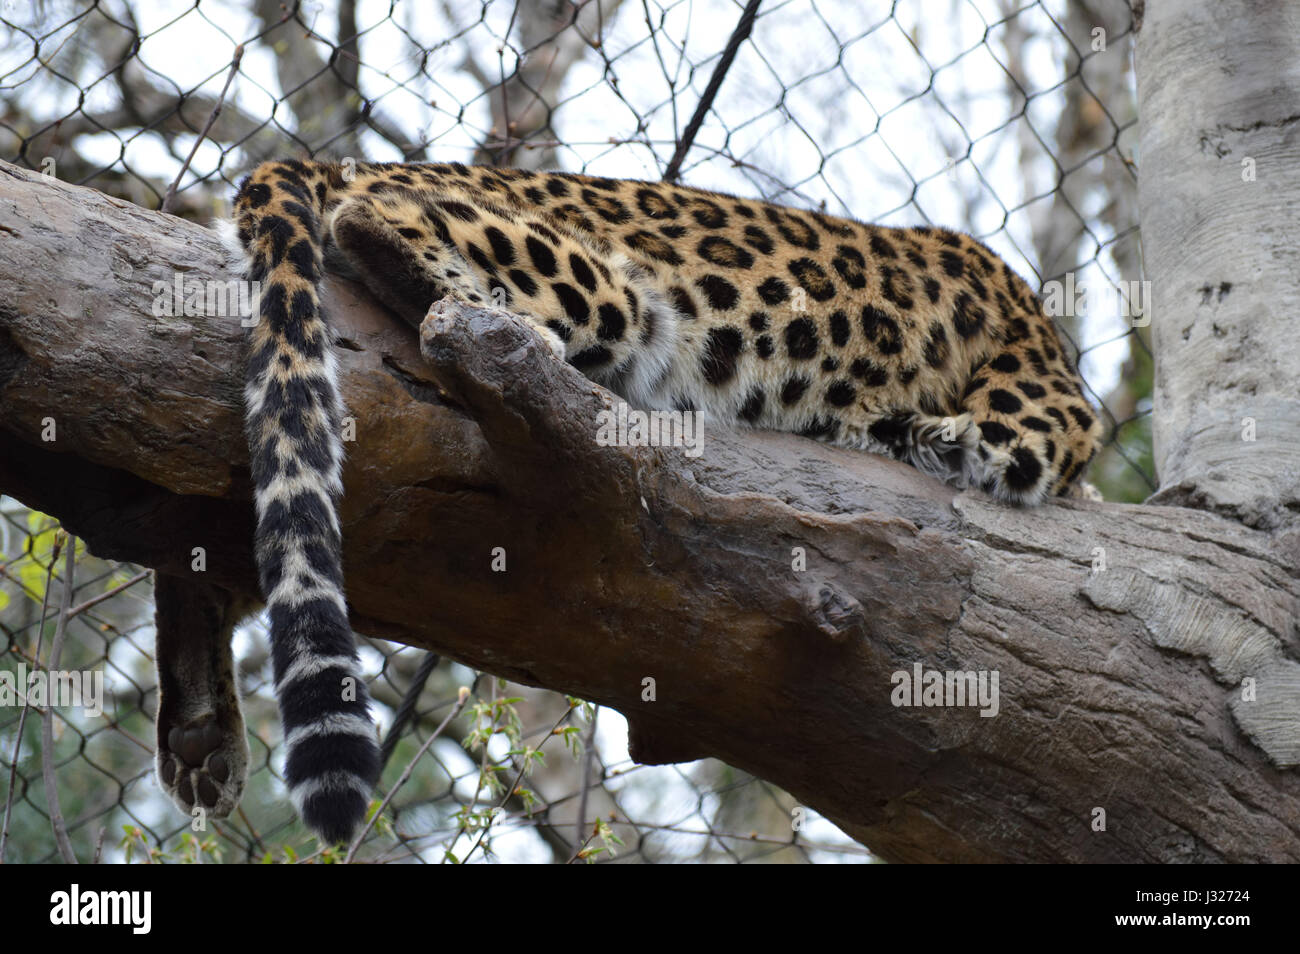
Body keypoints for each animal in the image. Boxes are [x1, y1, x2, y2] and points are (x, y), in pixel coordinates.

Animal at [153, 157, 1102, 845]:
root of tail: (345, 156)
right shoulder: (1035, 427)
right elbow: (1015, 454)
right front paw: (925, 435)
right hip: (607, 288)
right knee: (375, 223)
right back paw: (504, 326)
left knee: (207, 536)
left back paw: (199, 728)